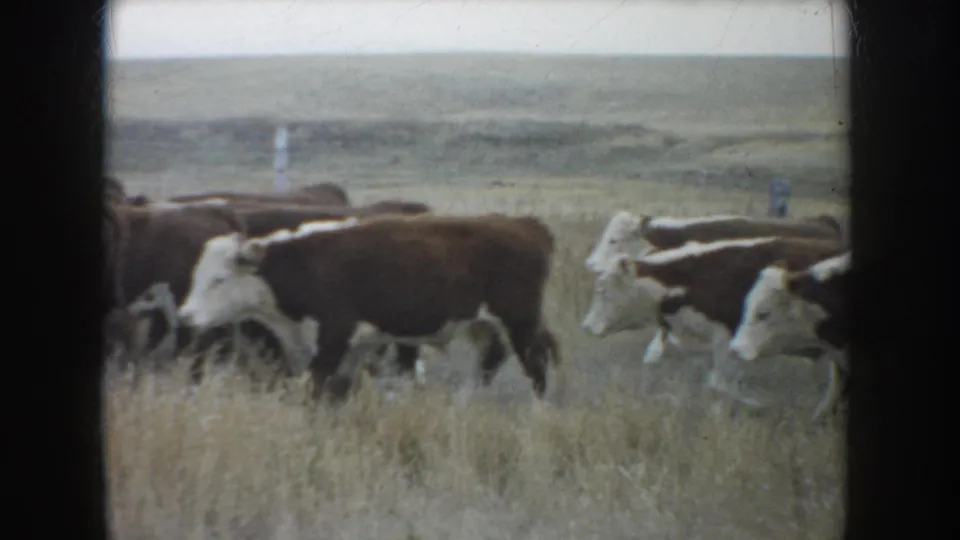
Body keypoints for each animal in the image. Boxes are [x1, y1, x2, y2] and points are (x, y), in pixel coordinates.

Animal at [177, 212, 564, 402]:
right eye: (196, 276)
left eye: (219, 279)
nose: (185, 316)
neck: (302, 265)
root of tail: (525, 224)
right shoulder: (349, 350)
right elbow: (335, 394)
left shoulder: (333, 340)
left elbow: (315, 390)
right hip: (483, 325)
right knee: (489, 361)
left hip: (520, 321)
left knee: (536, 366)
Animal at [580, 236, 846, 409]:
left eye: (602, 290)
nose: (586, 326)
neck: (698, 276)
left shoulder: (727, 340)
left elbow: (721, 384)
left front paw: (757, 403)